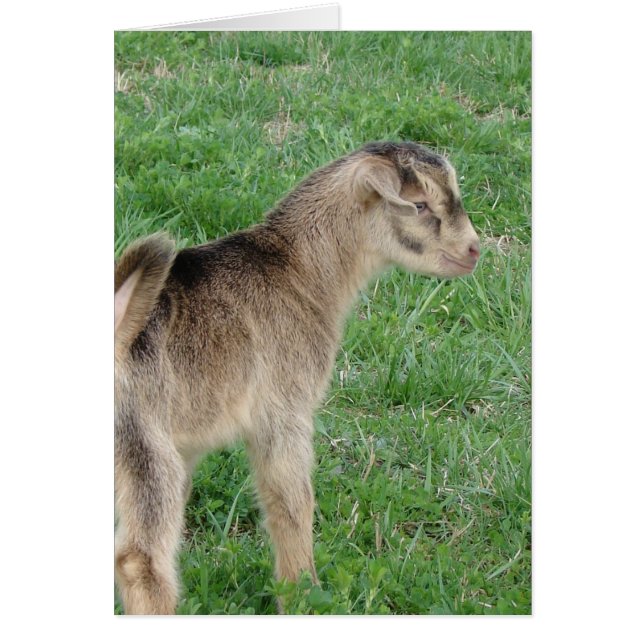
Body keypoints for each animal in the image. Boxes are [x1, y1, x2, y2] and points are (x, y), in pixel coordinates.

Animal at [114, 141, 481, 614]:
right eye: (419, 204)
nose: (473, 250)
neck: (298, 271)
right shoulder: (284, 407)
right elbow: (291, 503)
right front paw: (303, 592)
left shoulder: (187, 442)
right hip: (142, 443)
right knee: (140, 560)